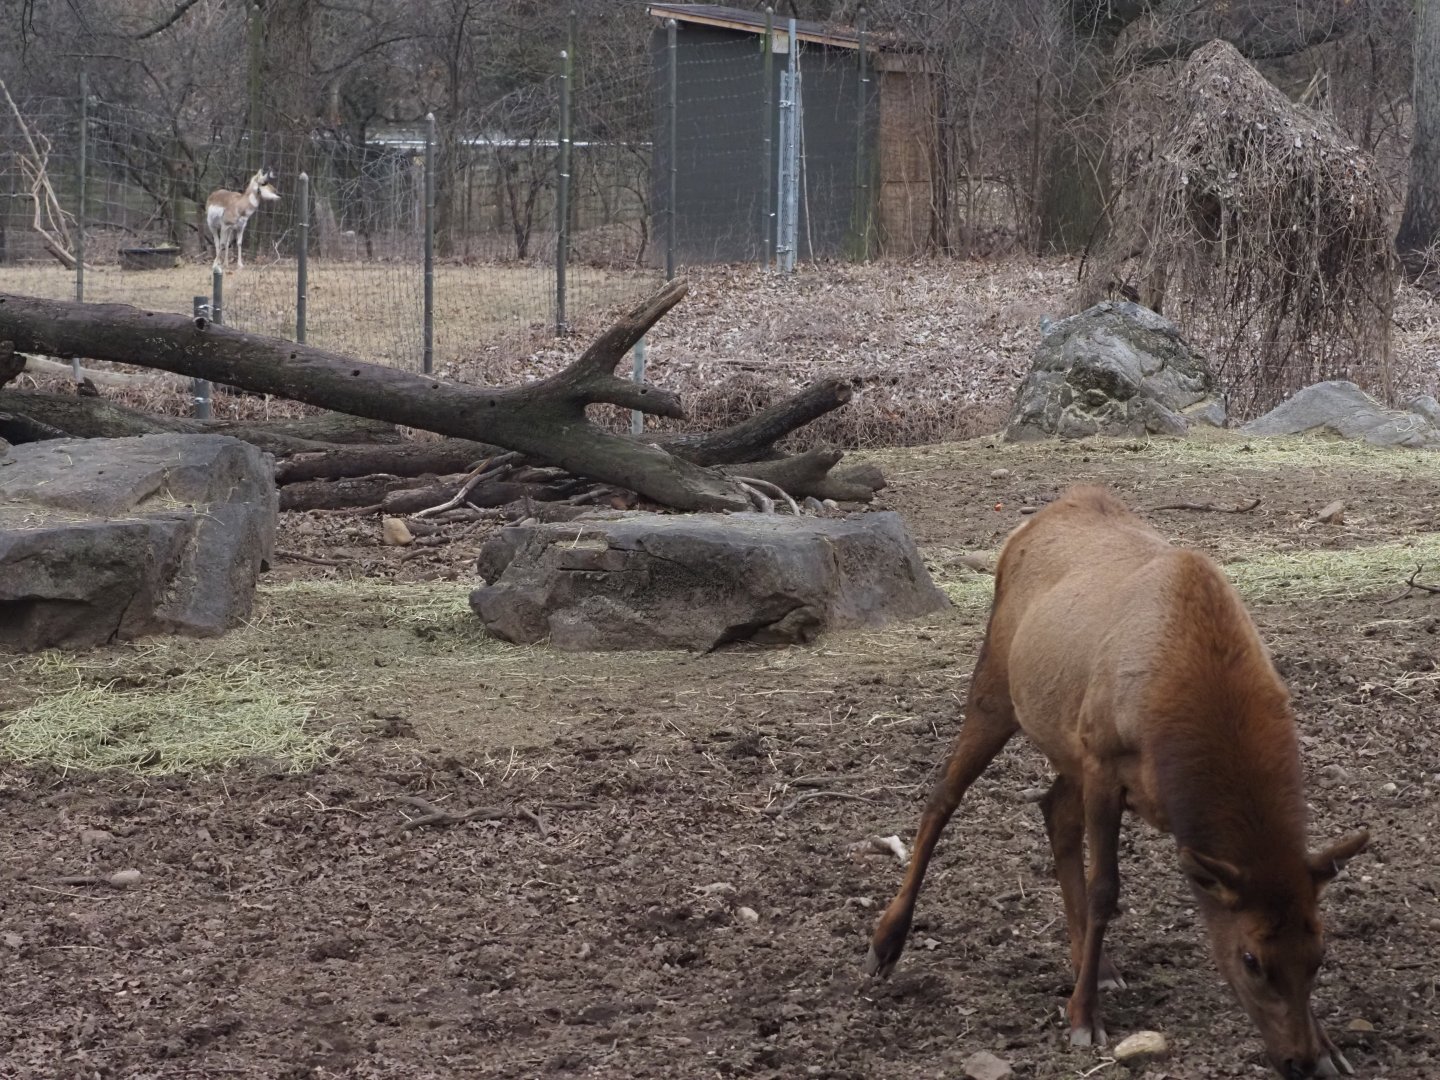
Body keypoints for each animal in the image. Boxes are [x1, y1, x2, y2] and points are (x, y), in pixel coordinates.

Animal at [865, 486, 1369, 1080]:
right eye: (1251, 958)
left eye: (1319, 953)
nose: (1298, 1059)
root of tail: (1036, 520)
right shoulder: (1105, 763)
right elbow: (1106, 889)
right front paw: (1083, 1016)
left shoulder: (1096, 761)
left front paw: (1331, 1045)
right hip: (997, 687)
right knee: (943, 795)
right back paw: (887, 941)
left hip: (1068, 742)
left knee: (1053, 809)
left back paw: (1096, 962)